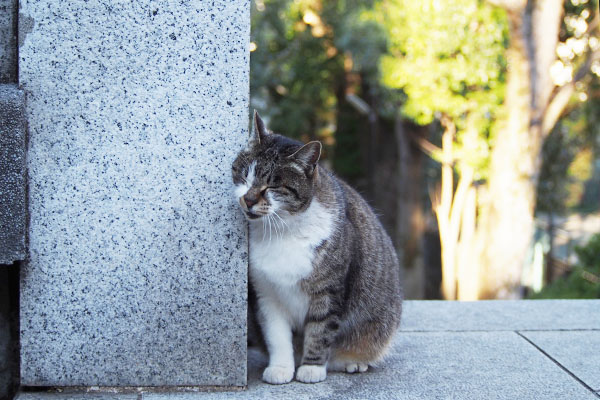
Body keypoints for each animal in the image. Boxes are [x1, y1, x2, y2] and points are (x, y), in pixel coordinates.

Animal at [231, 110, 404, 384]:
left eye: (272, 186)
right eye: (244, 176)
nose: (247, 199)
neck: (282, 231)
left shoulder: (329, 292)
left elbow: (320, 331)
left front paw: (311, 368)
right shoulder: (266, 295)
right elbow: (277, 336)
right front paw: (281, 368)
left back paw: (354, 362)